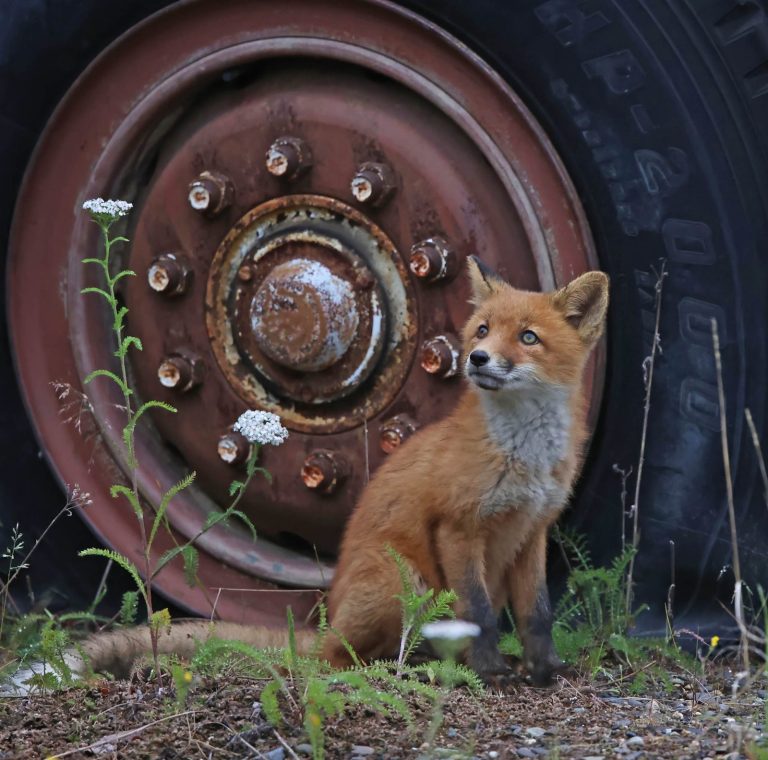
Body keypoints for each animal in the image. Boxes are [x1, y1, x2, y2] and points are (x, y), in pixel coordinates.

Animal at [5, 258, 607, 691]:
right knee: (337, 661)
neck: (524, 453)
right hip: (402, 580)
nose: (477, 359)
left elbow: (537, 615)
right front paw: (493, 674)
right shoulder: (458, 528)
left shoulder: (531, 531)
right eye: (481, 330)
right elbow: (480, 613)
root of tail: (330, 621)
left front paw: (545, 670)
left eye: (527, 337)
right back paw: (408, 671)